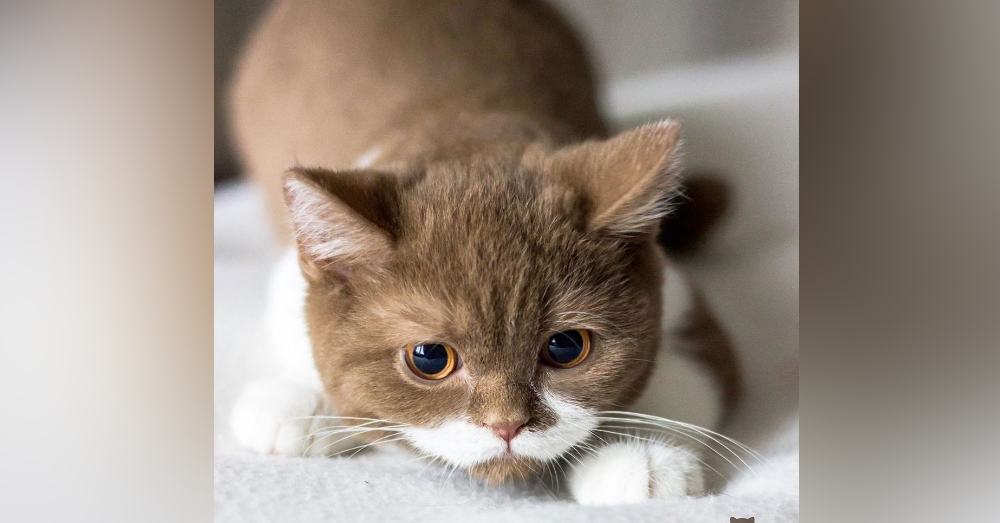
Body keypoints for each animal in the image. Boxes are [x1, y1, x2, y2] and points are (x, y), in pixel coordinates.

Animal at [230, 0, 740, 508]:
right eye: (430, 357)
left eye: (566, 346)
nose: (506, 424)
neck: (471, 129)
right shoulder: (287, 280)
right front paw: (300, 398)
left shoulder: (687, 310)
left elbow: (687, 381)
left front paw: (638, 454)